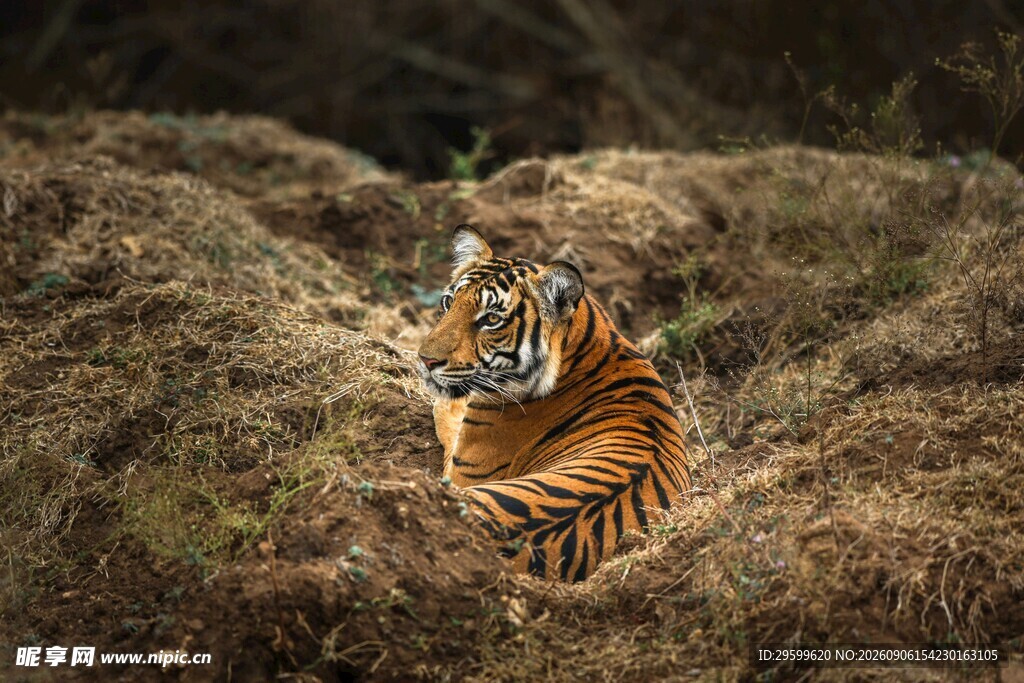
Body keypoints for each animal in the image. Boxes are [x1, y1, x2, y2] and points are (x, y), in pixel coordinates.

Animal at [417, 225, 692, 582]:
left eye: (490, 319)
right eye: (449, 301)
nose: (425, 360)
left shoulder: (464, 469)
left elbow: (449, 416)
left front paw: (444, 404)